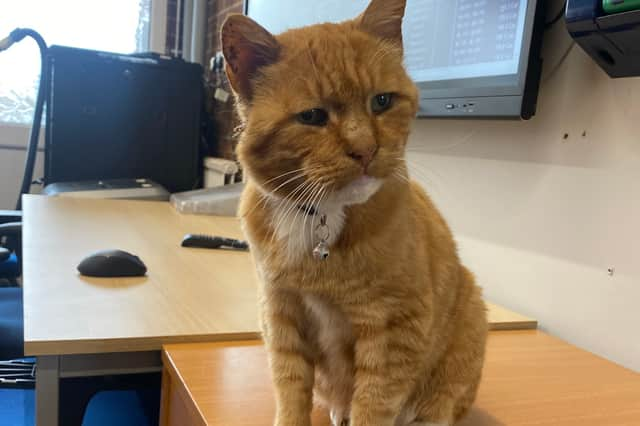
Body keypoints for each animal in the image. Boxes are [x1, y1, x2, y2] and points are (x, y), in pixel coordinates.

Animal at [220, 1, 484, 424]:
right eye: (312, 116)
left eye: (382, 101)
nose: (365, 150)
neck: (320, 221)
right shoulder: (281, 315)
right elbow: (290, 388)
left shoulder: (394, 330)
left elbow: (374, 404)